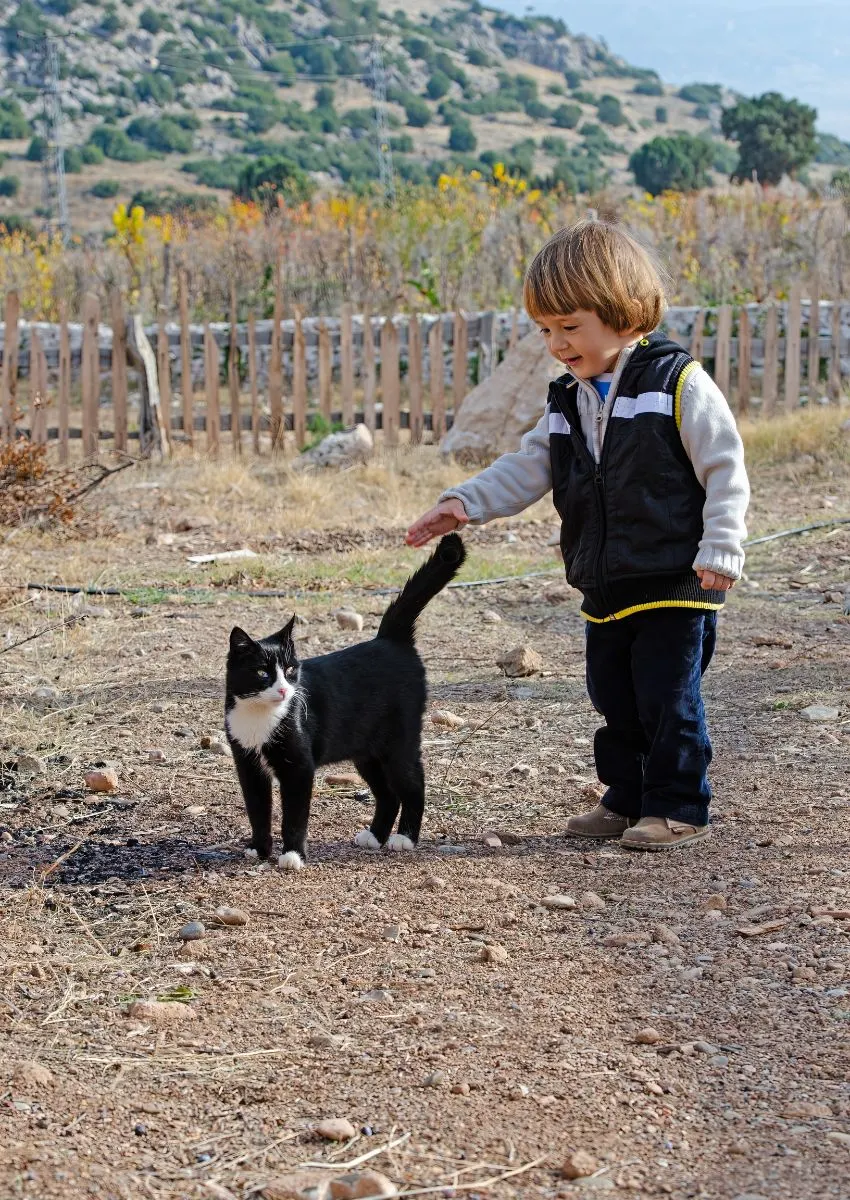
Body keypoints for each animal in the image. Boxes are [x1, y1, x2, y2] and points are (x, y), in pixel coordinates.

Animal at [224, 540, 465, 868]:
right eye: (262, 673)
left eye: (290, 670)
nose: (285, 690)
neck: (259, 716)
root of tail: (390, 640)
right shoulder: (248, 766)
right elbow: (257, 810)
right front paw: (259, 849)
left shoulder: (299, 768)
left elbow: (294, 816)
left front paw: (293, 855)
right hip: (366, 752)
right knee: (388, 794)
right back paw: (375, 836)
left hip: (398, 743)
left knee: (413, 785)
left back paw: (405, 838)